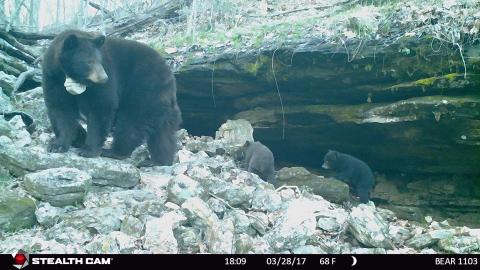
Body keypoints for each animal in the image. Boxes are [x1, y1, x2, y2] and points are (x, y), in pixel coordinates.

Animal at [42, 29, 181, 165]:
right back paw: (158, 161)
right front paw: (58, 145)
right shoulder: (53, 78)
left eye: (100, 61)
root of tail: (170, 78)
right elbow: (60, 109)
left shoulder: (106, 78)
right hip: (159, 102)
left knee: (131, 122)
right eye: (89, 61)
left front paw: (88, 150)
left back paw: (114, 152)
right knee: (162, 133)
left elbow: (101, 106)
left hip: (144, 90)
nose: (104, 78)